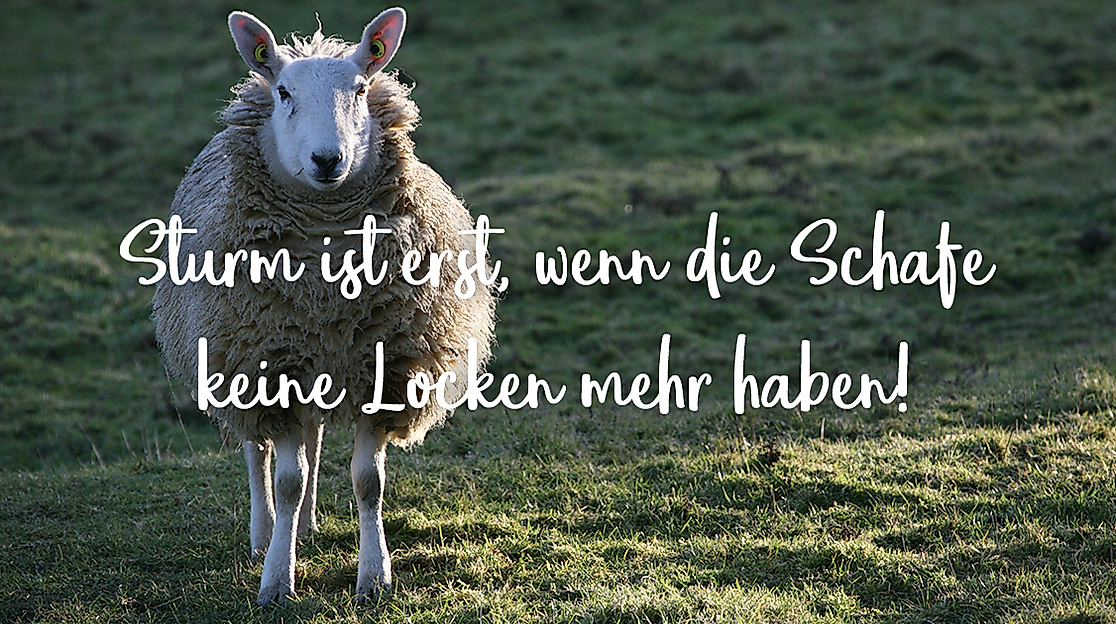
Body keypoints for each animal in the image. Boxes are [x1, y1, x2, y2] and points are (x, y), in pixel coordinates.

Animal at [151, 8, 496, 605]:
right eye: (285, 92)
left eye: (359, 89)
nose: (327, 159)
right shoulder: (269, 365)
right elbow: (285, 479)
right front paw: (276, 578)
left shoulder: (385, 370)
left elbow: (368, 482)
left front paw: (374, 576)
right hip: (241, 357)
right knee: (259, 454)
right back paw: (266, 532)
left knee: (311, 442)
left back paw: (307, 526)